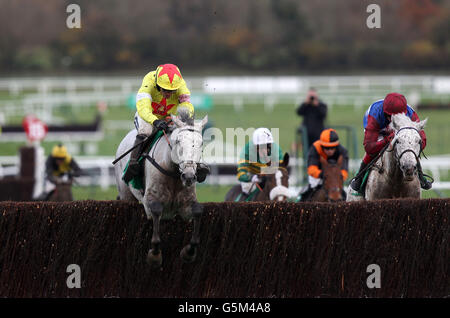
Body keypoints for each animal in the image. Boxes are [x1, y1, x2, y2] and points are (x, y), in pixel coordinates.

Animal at [115, 110, 208, 268]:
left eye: (201, 143)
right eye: (178, 141)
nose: (189, 176)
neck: (173, 172)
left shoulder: (186, 203)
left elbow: (197, 211)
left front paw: (189, 252)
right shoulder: (149, 200)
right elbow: (157, 211)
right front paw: (155, 255)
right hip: (126, 194)